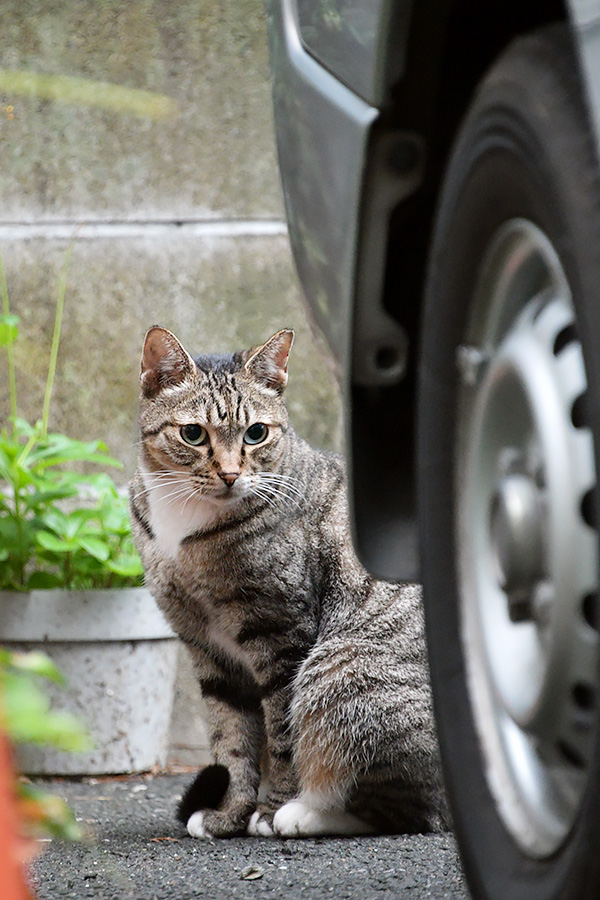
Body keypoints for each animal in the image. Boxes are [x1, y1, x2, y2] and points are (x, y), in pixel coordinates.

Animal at [131, 326, 450, 840]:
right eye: (193, 433)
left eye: (256, 433)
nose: (230, 474)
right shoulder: (207, 650)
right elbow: (231, 741)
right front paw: (229, 815)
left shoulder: (282, 636)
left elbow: (281, 734)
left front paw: (269, 808)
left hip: (341, 674)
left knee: (406, 808)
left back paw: (304, 812)